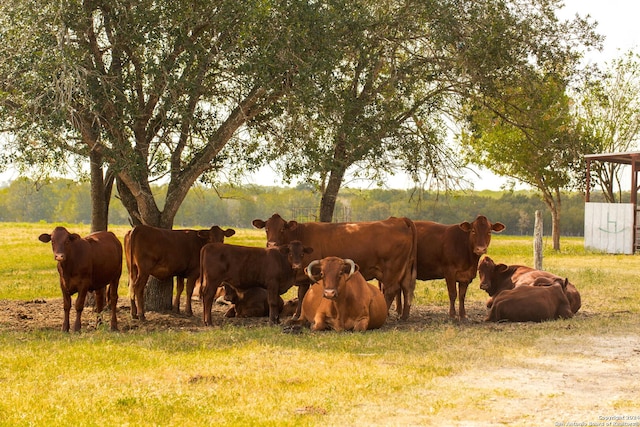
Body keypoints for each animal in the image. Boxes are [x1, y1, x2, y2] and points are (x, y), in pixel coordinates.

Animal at [252, 216, 418, 320]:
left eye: (282, 229)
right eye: (266, 228)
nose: (271, 244)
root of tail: (398, 220)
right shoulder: (304, 277)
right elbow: (301, 294)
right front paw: (296, 314)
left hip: (392, 269)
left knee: (390, 291)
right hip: (405, 269)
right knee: (406, 288)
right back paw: (403, 316)